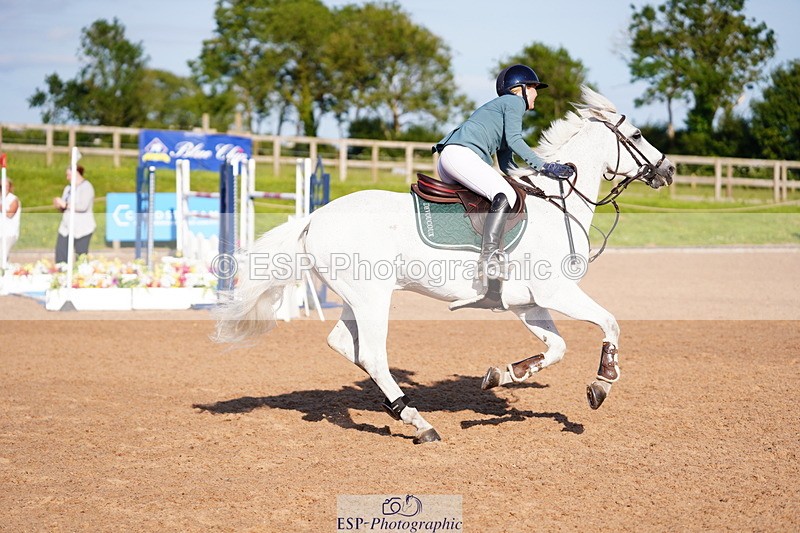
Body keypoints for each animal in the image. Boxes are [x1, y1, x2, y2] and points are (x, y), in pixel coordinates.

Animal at [213, 86, 674, 444]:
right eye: (637, 134)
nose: (668, 170)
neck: (558, 205)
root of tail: (316, 216)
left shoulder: (529, 303)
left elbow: (556, 349)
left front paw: (502, 374)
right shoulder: (557, 291)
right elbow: (610, 322)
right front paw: (603, 382)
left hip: (356, 298)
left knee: (346, 345)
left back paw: (400, 411)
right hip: (372, 297)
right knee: (373, 355)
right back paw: (420, 423)